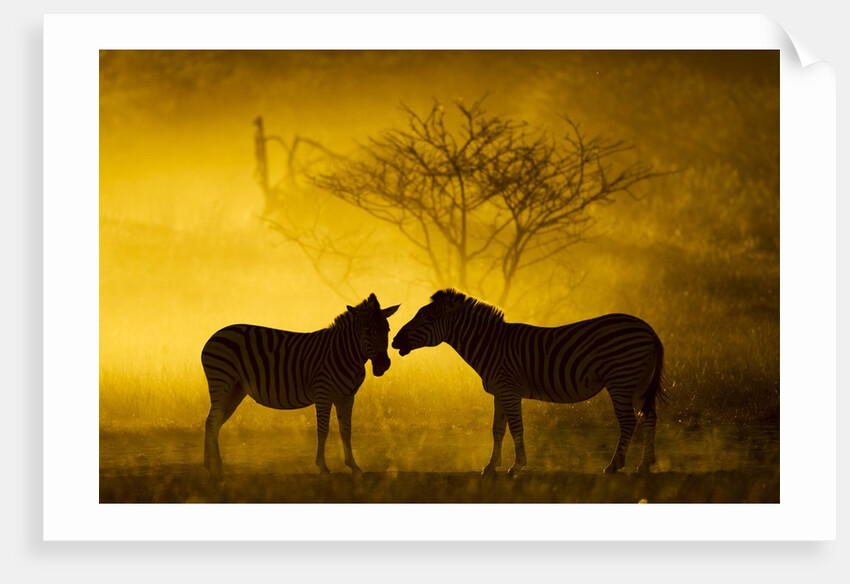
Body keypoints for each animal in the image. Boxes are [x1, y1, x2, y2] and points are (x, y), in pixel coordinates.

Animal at [201, 293, 400, 481]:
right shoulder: (323, 393)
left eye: (387, 330)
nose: (383, 364)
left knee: (214, 421)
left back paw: (211, 466)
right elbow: (323, 430)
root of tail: (216, 334)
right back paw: (215, 469)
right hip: (222, 381)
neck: (345, 353)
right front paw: (323, 468)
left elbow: (346, 430)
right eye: (367, 331)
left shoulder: (347, 397)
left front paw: (354, 467)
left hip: (236, 389)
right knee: (212, 421)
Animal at [391, 289, 665, 475]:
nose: (394, 341)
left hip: (620, 380)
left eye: (427, 319)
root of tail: (649, 329)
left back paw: (614, 465)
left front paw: (517, 466)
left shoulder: (509, 389)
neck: (491, 345)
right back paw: (645, 464)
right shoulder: (499, 392)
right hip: (638, 382)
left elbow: (516, 428)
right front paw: (491, 465)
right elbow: (498, 429)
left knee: (629, 421)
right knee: (648, 417)